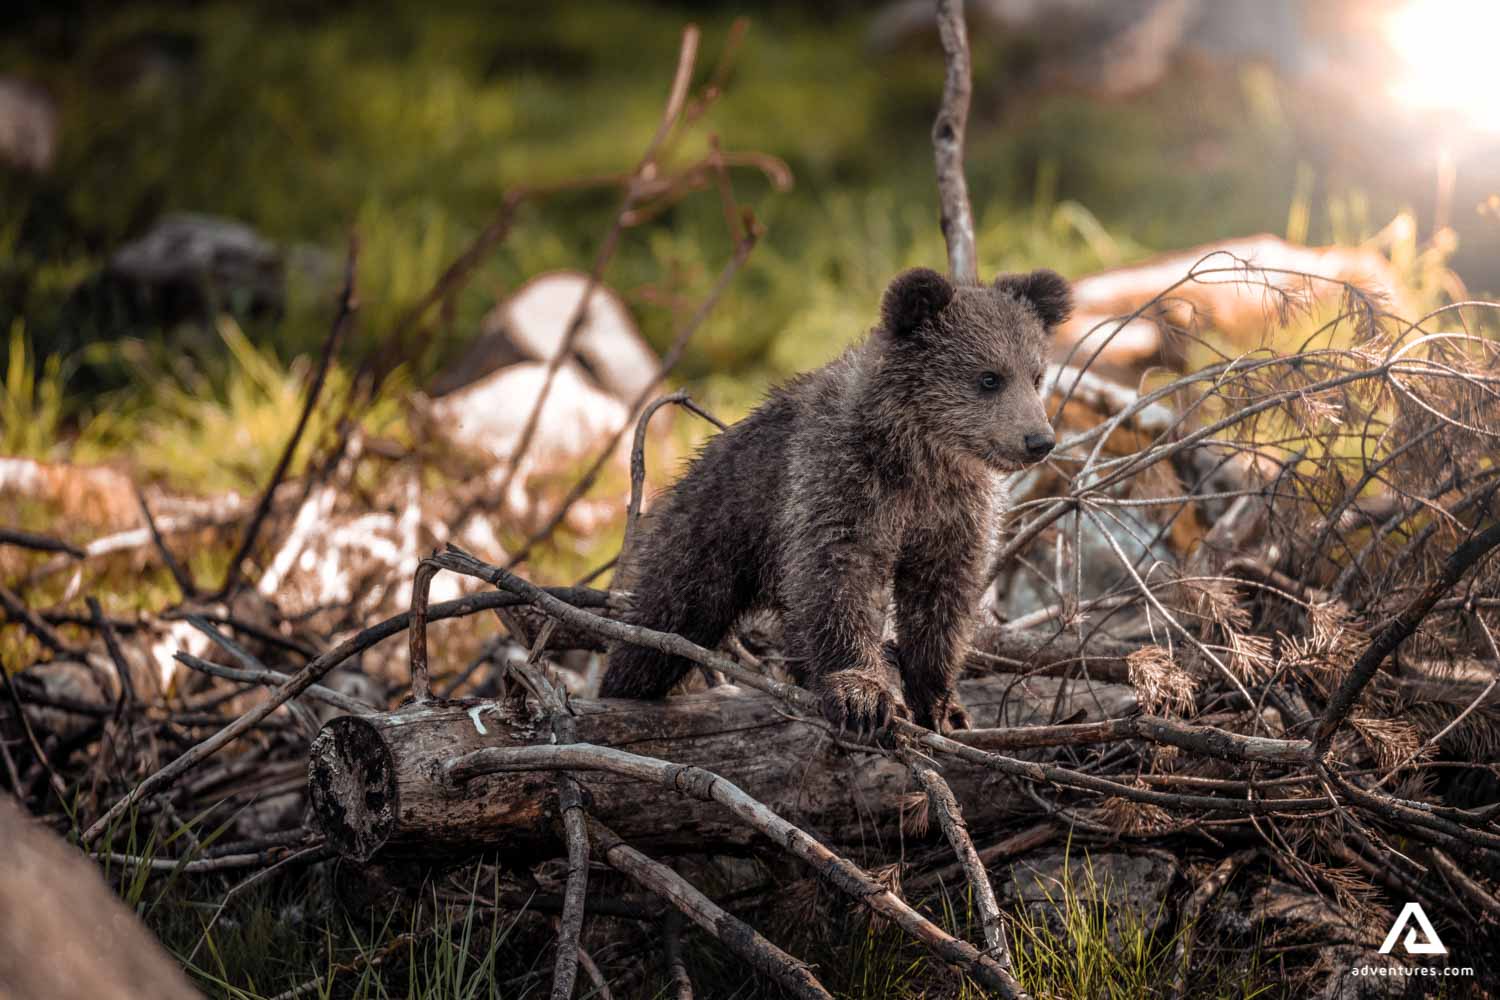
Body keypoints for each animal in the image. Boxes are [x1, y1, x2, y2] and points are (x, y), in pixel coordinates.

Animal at [599, 266, 1072, 734]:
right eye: (989, 377)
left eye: (1036, 375)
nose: (1039, 440)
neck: (920, 459)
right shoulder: (841, 483)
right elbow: (838, 578)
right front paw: (862, 695)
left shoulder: (953, 513)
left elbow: (941, 598)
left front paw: (942, 706)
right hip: (712, 534)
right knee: (665, 620)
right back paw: (622, 687)